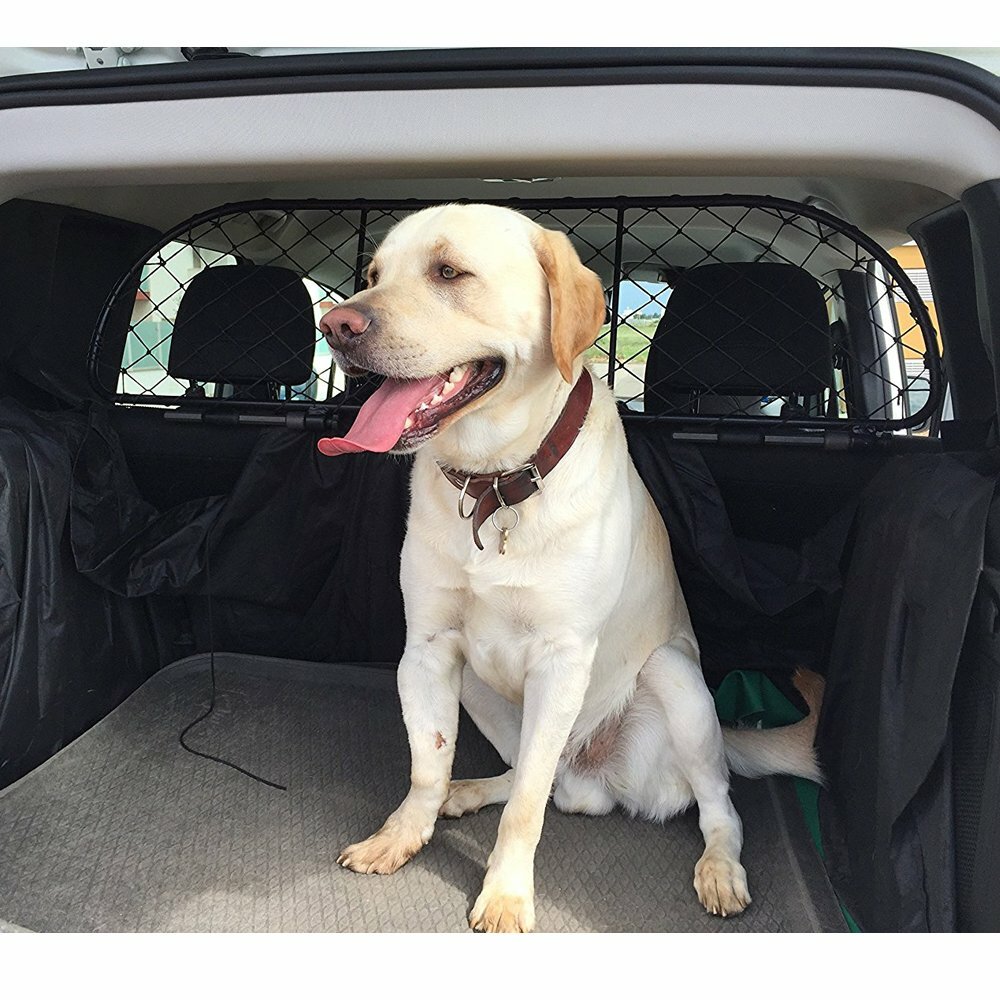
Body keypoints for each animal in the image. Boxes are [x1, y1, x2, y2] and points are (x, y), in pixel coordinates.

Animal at [316, 203, 822, 932]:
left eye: (449, 272)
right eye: (373, 276)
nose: (336, 325)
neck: (496, 482)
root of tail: (596, 776)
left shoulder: (561, 661)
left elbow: (527, 807)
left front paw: (505, 894)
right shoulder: (429, 648)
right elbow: (429, 766)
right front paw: (404, 835)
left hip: (674, 680)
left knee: (714, 806)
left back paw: (721, 868)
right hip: (479, 686)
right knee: (541, 776)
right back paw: (470, 792)